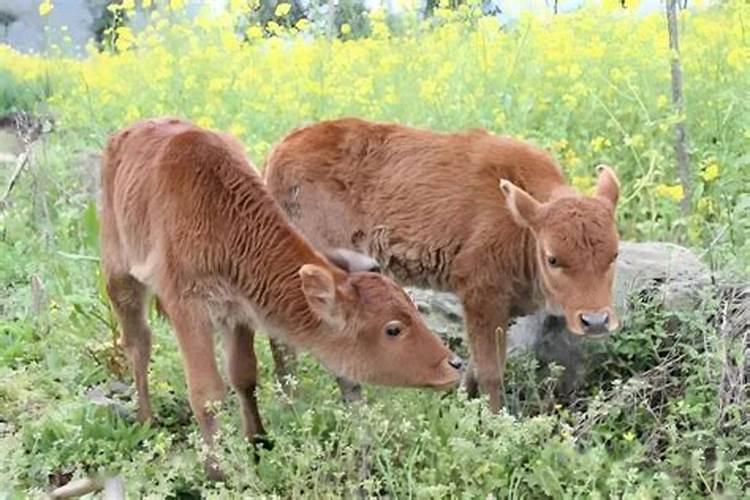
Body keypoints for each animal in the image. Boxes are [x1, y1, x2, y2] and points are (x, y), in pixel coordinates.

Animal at [98, 117, 464, 480]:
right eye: (393, 329)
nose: (454, 364)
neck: (221, 215)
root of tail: (125, 134)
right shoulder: (189, 310)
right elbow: (207, 393)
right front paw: (216, 472)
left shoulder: (238, 311)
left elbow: (244, 376)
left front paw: (258, 443)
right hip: (120, 276)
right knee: (138, 343)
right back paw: (146, 420)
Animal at [264, 117, 624, 414]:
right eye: (552, 258)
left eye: (615, 254)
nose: (595, 322)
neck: (519, 221)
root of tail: (282, 148)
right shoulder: (481, 294)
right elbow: (491, 371)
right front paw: (495, 422)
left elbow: (475, 367)